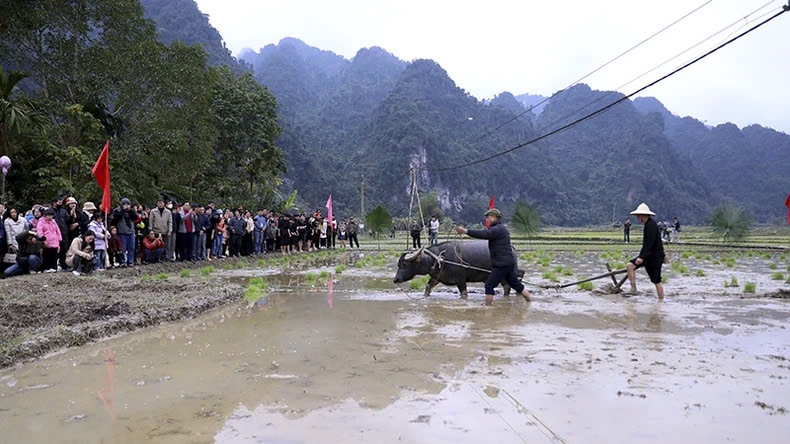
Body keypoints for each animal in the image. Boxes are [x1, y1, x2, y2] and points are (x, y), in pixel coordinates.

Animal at [394, 241, 524, 300]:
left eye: (404, 264)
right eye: (398, 264)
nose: (395, 279)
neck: (439, 259)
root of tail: (512, 247)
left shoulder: (461, 281)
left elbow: (464, 293)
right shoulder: (436, 278)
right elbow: (428, 287)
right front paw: (426, 296)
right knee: (507, 286)